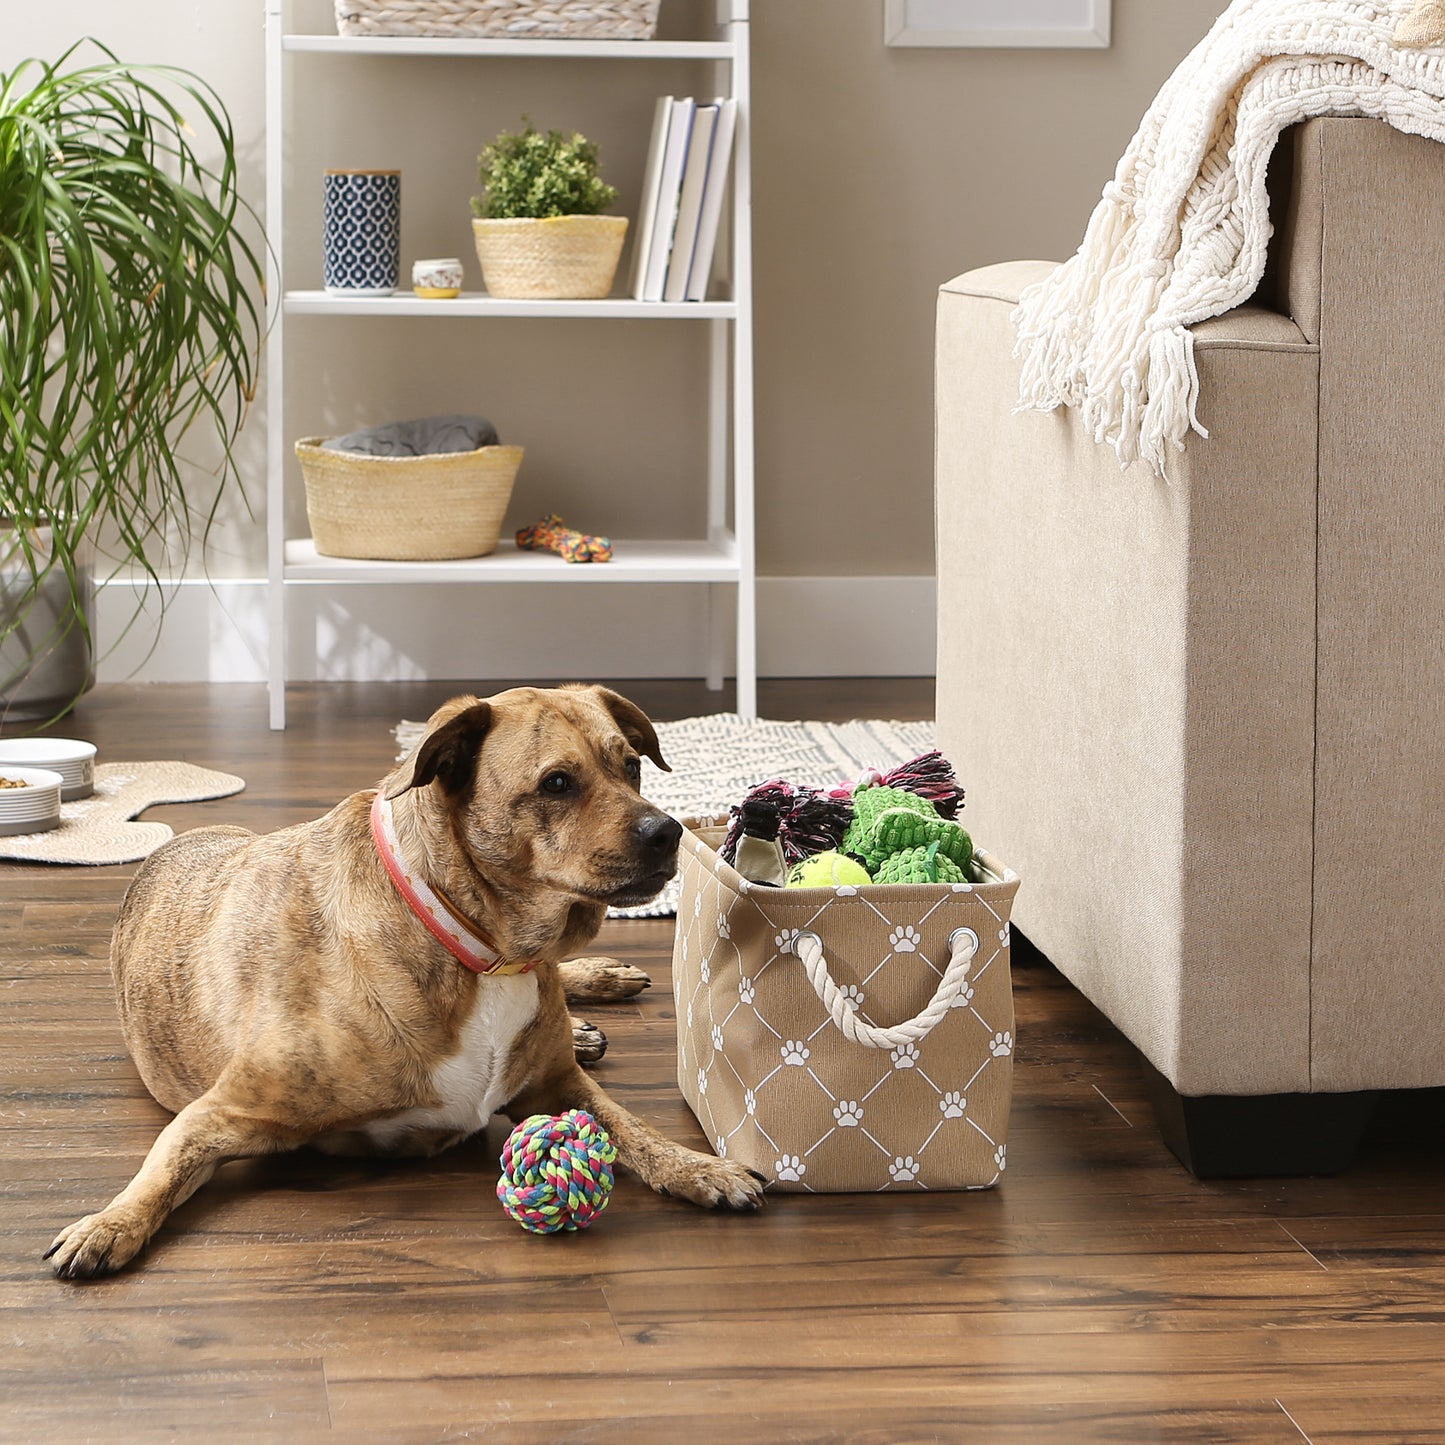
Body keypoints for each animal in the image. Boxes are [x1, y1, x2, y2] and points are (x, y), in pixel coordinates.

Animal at [49, 687, 762, 1277]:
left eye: (633, 767)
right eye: (557, 783)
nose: (669, 831)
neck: (482, 949)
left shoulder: (560, 1084)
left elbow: (635, 1130)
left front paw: (702, 1168)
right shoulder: (220, 1113)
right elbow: (163, 1170)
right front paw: (109, 1223)